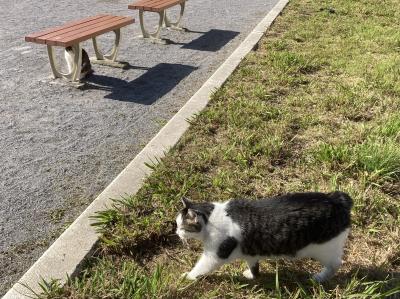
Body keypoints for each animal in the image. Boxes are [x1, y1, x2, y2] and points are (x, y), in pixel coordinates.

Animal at [177, 192, 352, 284]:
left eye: (182, 226)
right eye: (177, 224)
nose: (177, 233)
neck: (211, 218)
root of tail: (337, 199)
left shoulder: (215, 254)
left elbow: (201, 267)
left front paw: (187, 277)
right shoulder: (250, 254)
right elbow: (254, 268)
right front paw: (252, 275)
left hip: (325, 249)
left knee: (335, 264)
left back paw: (320, 278)